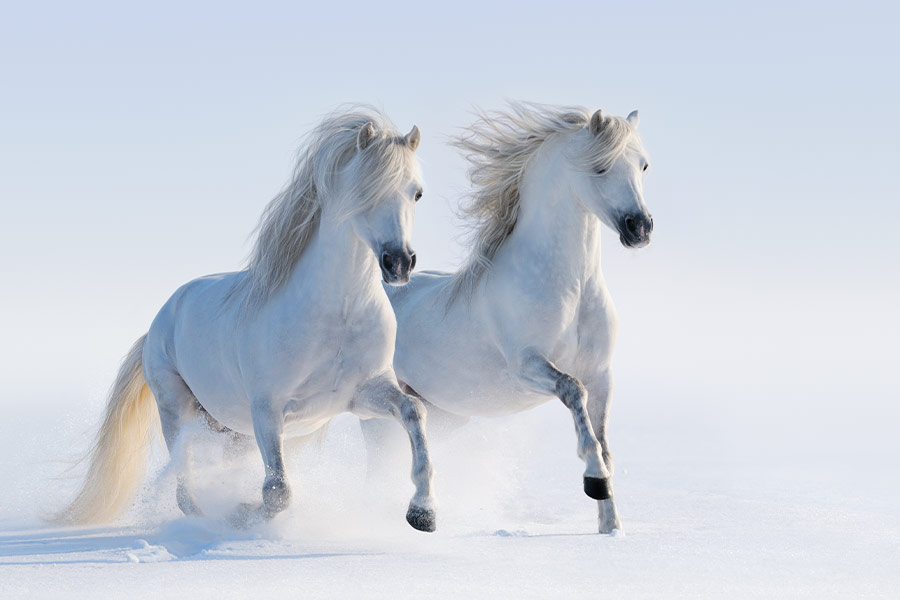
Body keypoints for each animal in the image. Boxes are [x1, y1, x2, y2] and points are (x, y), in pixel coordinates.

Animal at [56, 107, 438, 532]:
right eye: (365, 190)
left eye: (417, 192)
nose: (399, 262)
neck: (336, 315)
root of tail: (158, 323)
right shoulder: (267, 410)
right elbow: (277, 492)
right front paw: (241, 515)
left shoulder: (363, 394)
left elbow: (415, 412)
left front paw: (423, 512)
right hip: (177, 409)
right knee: (184, 481)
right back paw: (204, 518)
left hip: (231, 430)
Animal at [362, 103, 653, 534]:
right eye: (600, 167)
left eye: (643, 165)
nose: (640, 228)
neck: (572, 288)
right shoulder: (527, 365)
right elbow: (574, 393)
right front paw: (594, 482)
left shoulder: (602, 374)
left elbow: (604, 442)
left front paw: (610, 527)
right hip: (377, 412)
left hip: (445, 414)